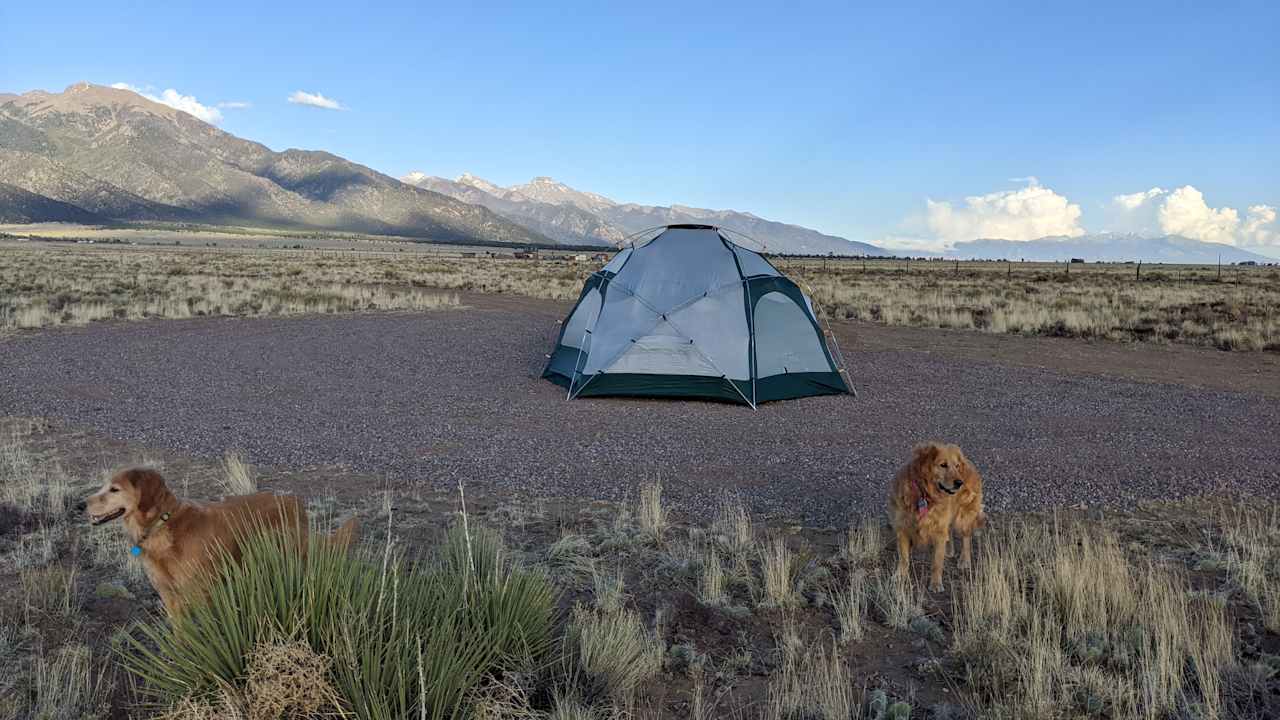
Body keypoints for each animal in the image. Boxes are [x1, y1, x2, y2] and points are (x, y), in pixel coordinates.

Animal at [85, 468, 355, 614]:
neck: (162, 525)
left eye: (114, 489)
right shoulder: (169, 597)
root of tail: (294, 500)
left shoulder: (200, 593)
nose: (81, 504)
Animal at [890, 443, 988, 589]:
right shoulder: (902, 527)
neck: (924, 493)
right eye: (943, 465)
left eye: (956, 466)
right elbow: (904, 557)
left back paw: (964, 560)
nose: (959, 483)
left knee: (966, 537)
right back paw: (949, 550)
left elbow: (937, 561)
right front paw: (900, 576)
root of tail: (968, 461)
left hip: (963, 517)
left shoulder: (938, 529)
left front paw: (935, 583)